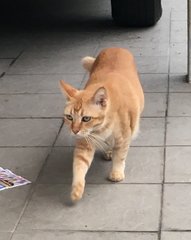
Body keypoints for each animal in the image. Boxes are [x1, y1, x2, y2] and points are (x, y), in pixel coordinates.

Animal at [60, 47, 145, 202]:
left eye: (86, 118)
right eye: (69, 117)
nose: (74, 131)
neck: (101, 128)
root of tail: (115, 47)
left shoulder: (124, 138)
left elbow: (120, 156)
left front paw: (116, 172)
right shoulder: (84, 143)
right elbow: (79, 165)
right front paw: (76, 189)